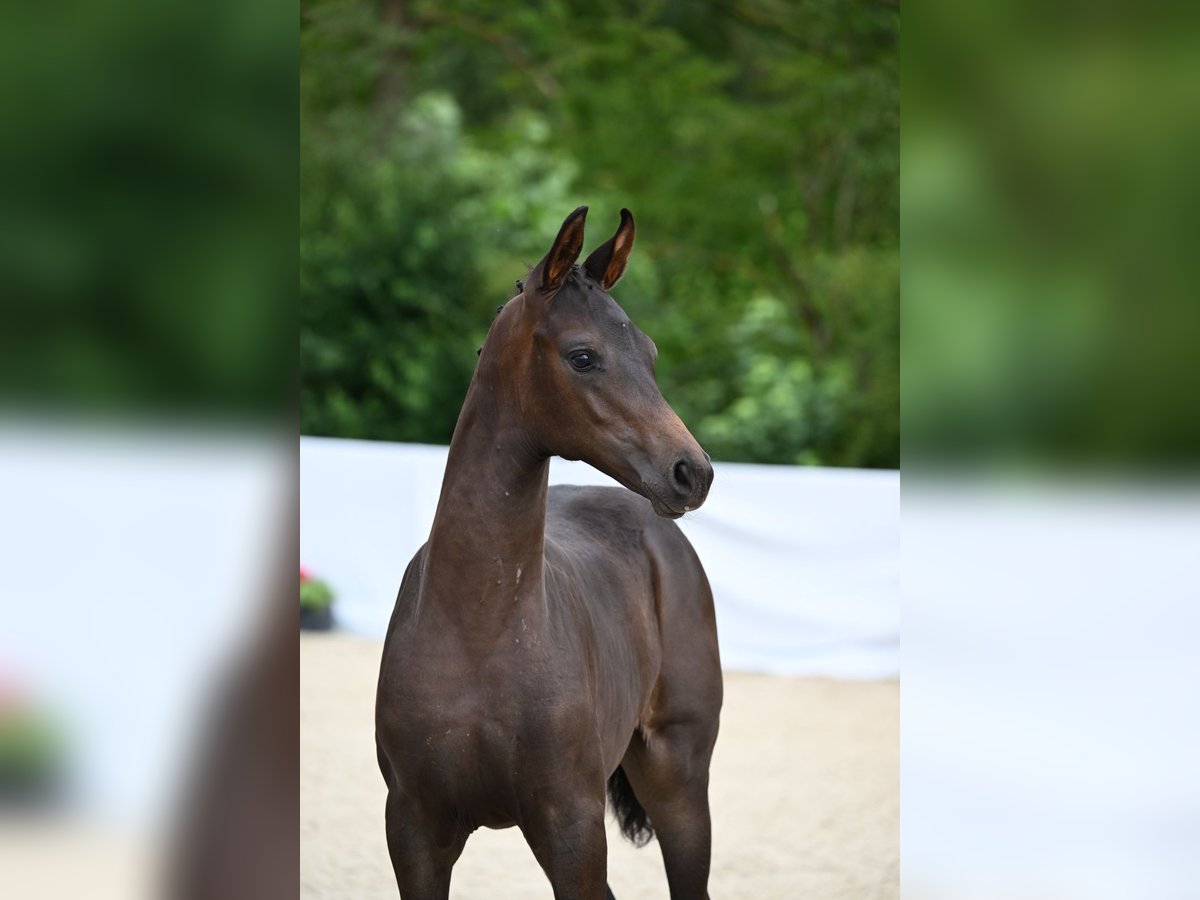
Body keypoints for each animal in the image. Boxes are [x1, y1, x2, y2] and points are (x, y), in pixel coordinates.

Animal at [374, 207, 720, 897]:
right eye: (583, 356)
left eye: (650, 353)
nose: (692, 472)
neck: (478, 628)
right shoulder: (415, 831)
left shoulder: (571, 826)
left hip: (678, 779)